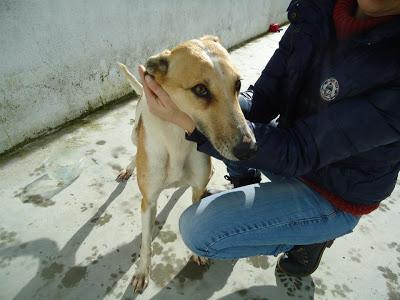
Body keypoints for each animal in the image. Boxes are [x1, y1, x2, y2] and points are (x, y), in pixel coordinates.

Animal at [117, 35, 258, 292]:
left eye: (238, 84)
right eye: (200, 90)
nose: (250, 149)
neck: (177, 139)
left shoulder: (197, 188)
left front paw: (197, 254)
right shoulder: (148, 201)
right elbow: (146, 243)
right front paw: (142, 271)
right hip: (135, 133)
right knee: (135, 147)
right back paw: (128, 168)